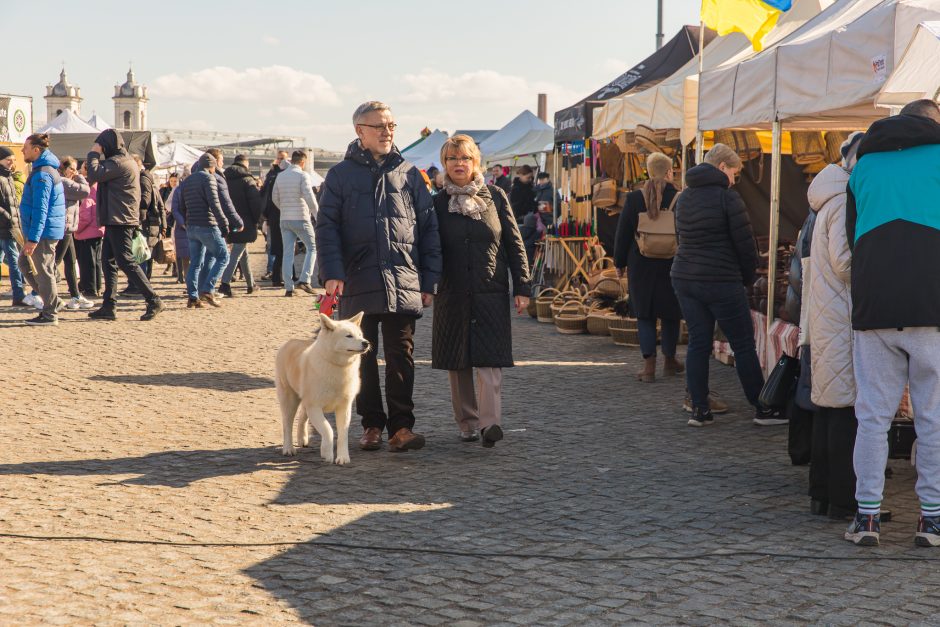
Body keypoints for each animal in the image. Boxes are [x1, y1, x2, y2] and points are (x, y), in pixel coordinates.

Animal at [274, 312, 370, 464]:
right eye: (349, 336)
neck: (337, 367)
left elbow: (343, 434)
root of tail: (289, 342)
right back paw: (288, 449)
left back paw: (302, 438)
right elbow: (328, 429)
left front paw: (343, 457)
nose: (366, 343)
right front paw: (326, 453)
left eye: (360, 335)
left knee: (302, 415)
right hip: (289, 399)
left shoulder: (344, 406)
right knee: (287, 424)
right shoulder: (315, 406)